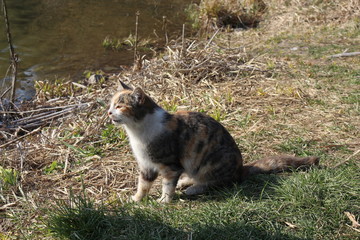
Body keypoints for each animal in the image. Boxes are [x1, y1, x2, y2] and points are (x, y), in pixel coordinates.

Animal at [108, 82, 320, 202]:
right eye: (111, 104)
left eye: (120, 106)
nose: (109, 112)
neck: (137, 131)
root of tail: (240, 168)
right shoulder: (146, 165)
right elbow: (143, 185)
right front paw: (137, 199)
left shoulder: (170, 165)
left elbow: (167, 185)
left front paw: (164, 201)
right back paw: (186, 182)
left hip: (211, 161)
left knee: (216, 182)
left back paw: (193, 188)